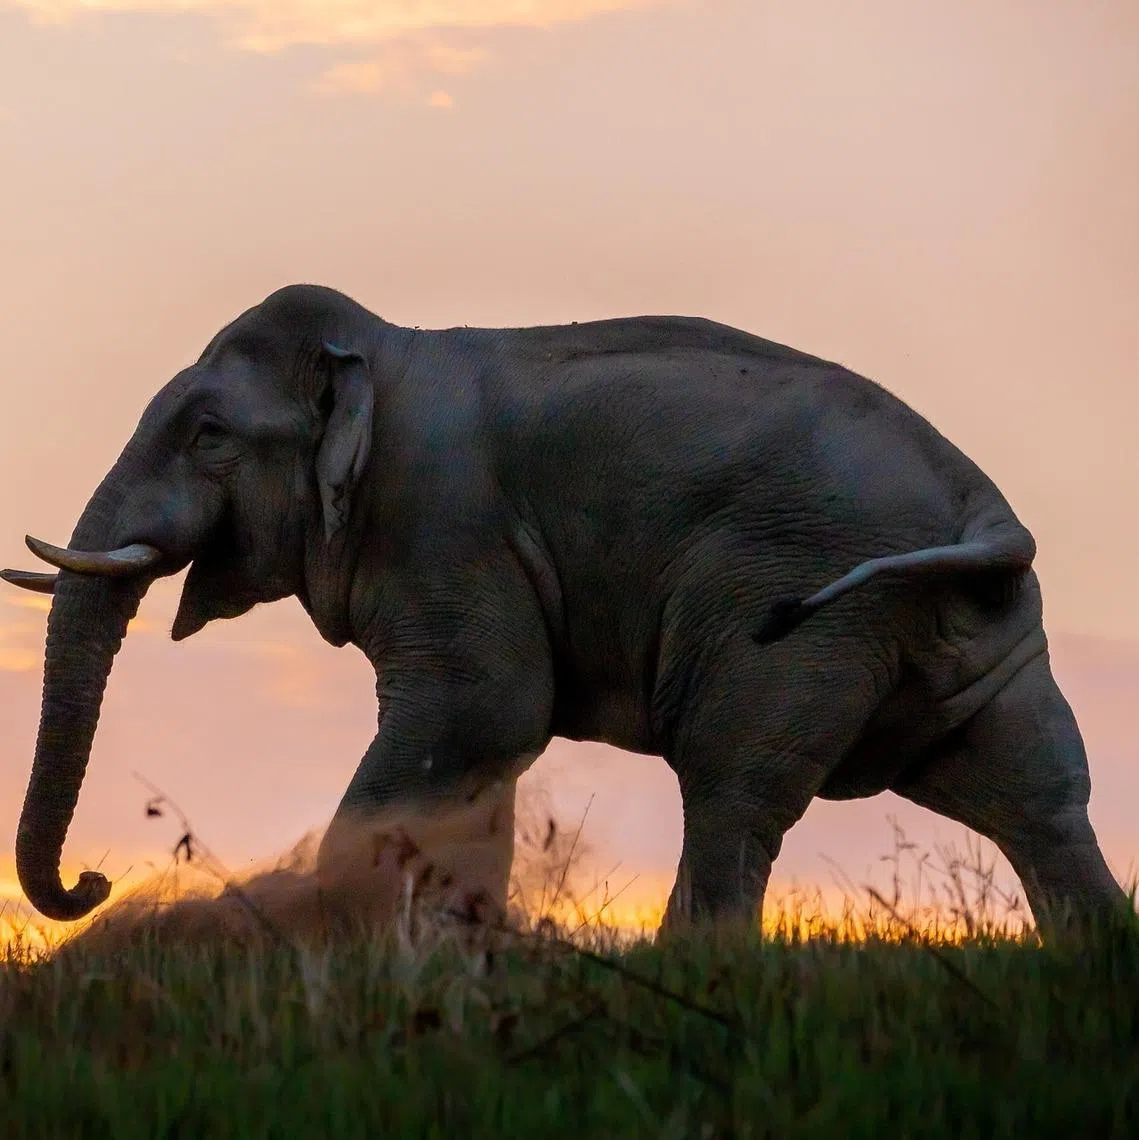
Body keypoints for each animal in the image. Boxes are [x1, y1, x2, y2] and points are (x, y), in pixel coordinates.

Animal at [2, 283, 1129, 940]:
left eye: (206, 434)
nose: (93, 885)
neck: (377, 354)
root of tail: (987, 512)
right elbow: (474, 765)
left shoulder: (444, 522)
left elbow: (476, 718)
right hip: (973, 633)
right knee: (1037, 800)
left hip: (803, 619)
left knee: (733, 790)